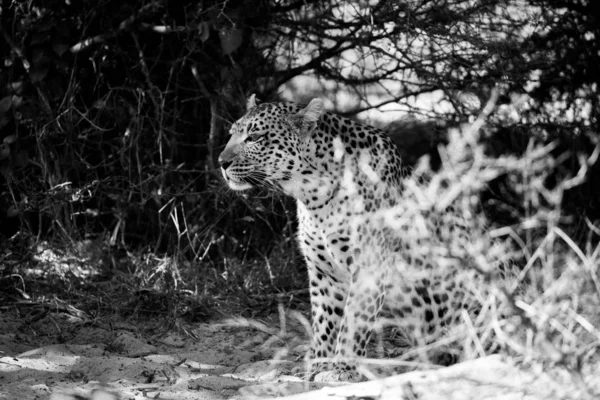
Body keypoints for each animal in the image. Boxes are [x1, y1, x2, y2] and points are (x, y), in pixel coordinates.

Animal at [218, 96, 480, 382]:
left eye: (254, 137)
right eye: (231, 134)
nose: (221, 162)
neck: (313, 196)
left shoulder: (368, 268)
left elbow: (352, 325)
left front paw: (342, 370)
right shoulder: (323, 272)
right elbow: (324, 323)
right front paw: (319, 365)